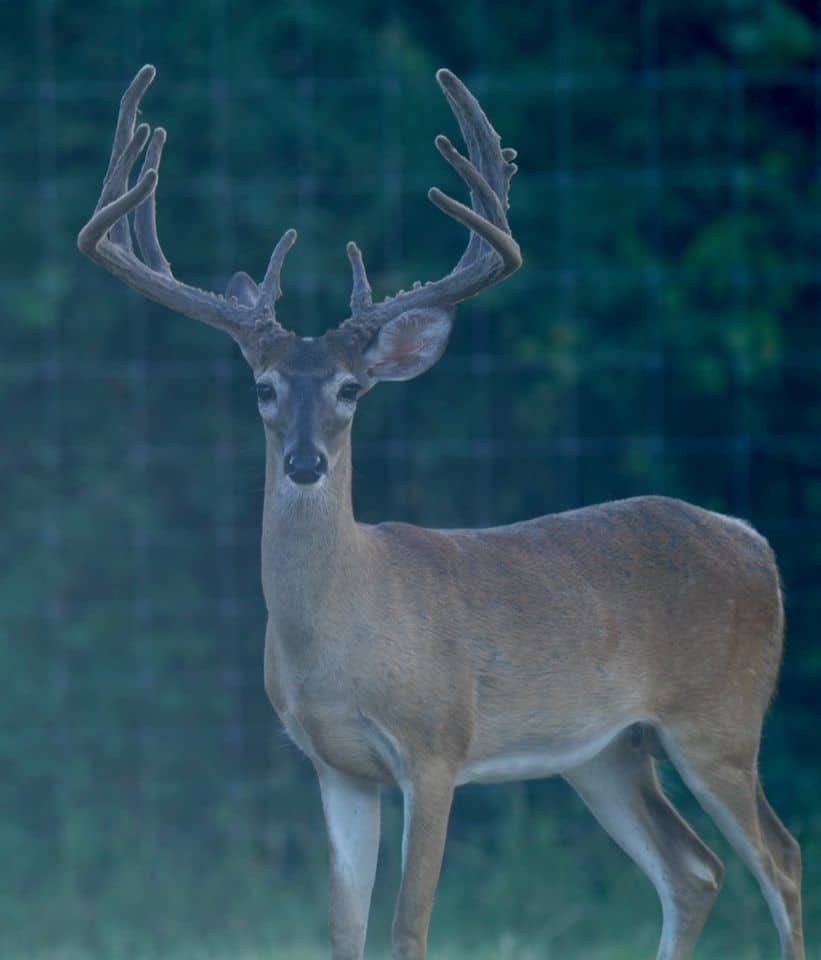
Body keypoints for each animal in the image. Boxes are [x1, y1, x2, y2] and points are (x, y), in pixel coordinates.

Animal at [77, 64, 804, 960]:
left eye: (352, 390)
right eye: (263, 387)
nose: (306, 464)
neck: (340, 632)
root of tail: (753, 541)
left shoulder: (435, 745)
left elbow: (407, 927)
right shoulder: (336, 766)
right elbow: (342, 930)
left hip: (721, 720)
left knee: (781, 859)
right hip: (604, 751)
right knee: (694, 868)